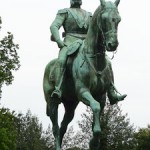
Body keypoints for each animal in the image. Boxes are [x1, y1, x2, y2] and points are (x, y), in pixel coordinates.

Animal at [43, 0, 122, 149]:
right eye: (104, 19)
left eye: (118, 20)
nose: (112, 44)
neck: (95, 59)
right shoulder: (83, 91)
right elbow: (95, 107)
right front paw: (93, 141)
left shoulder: (101, 97)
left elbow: (96, 116)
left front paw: (95, 141)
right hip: (52, 103)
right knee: (55, 127)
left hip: (70, 104)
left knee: (63, 126)